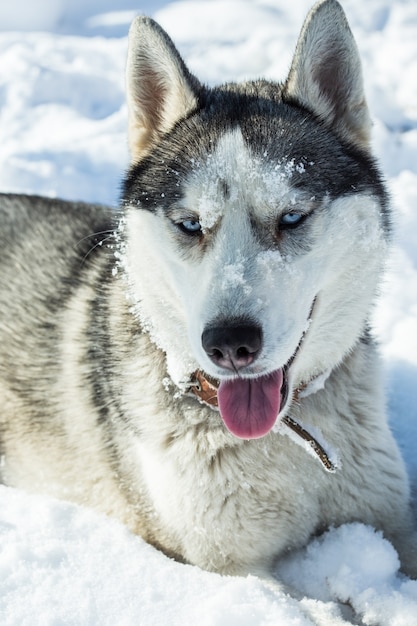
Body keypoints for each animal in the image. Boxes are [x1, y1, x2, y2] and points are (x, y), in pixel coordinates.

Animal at [0, 0, 416, 580]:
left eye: (292, 216)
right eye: (191, 224)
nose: (230, 344)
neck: (283, 439)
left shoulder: (386, 517)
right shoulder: (228, 567)